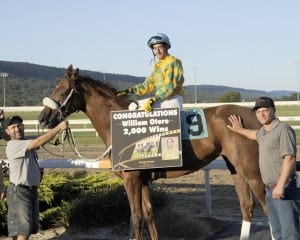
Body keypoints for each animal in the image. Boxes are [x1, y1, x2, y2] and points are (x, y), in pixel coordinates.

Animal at [38, 64, 266, 239]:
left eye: (62, 90)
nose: (42, 118)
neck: (119, 124)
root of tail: (254, 115)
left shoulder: (131, 179)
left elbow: (137, 217)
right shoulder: (143, 179)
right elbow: (149, 214)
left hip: (252, 170)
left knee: (266, 204)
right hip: (235, 168)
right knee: (247, 206)